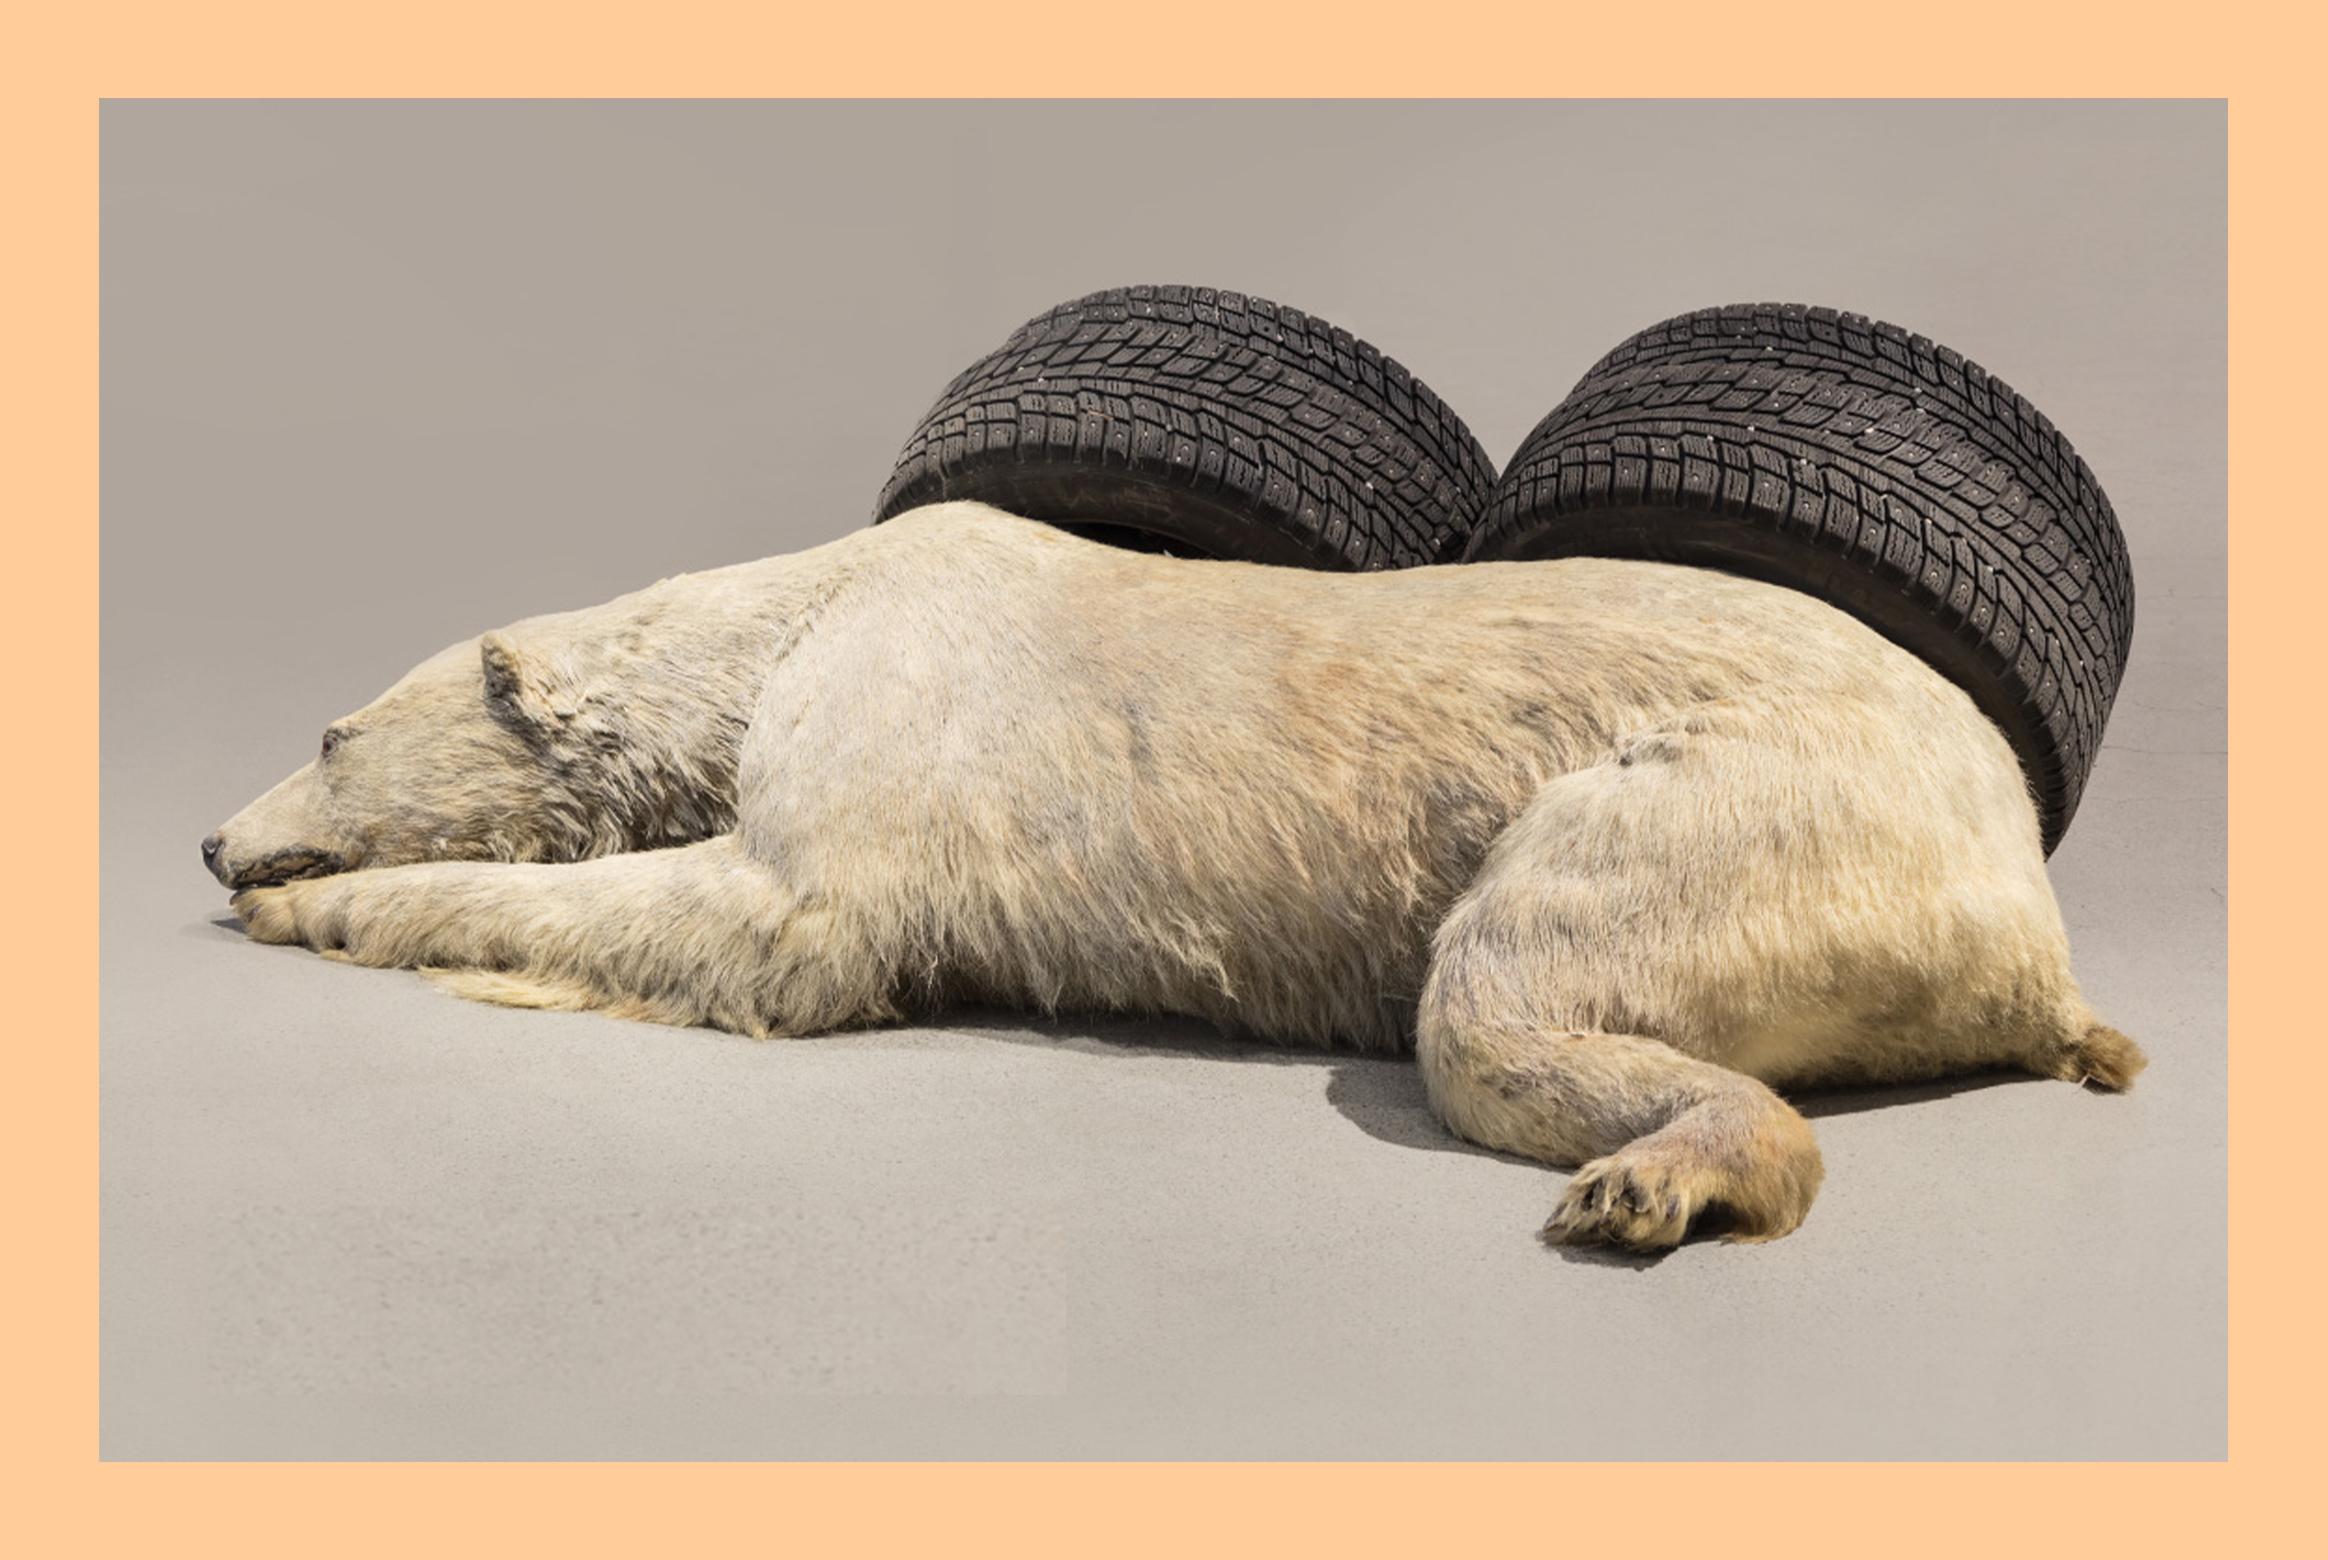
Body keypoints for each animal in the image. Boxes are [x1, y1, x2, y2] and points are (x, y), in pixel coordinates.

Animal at [209, 507, 2132, 1257]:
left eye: (325, 732)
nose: (214, 840)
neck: (806, 605)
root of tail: (2033, 933)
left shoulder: (890, 716)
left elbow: (777, 920)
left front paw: (327, 912)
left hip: (1740, 798)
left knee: (1498, 998)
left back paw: (1654, 1179)